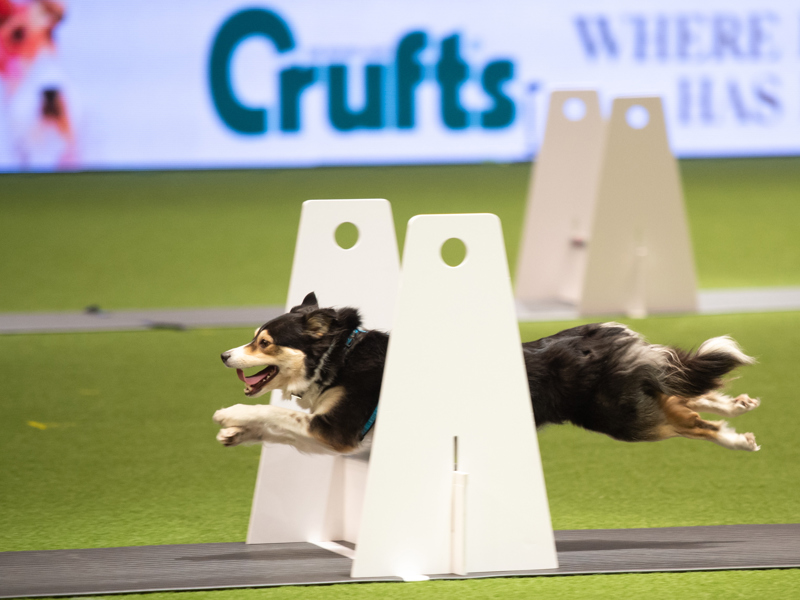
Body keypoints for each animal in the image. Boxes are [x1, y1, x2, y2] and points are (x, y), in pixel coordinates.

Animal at [214, 292, 764, 454]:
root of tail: (611, 332)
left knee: (688, 417)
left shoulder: (339, 431)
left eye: (262, 343)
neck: (339, 355)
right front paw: (235, 432)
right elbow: (276, 425)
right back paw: (735, 405)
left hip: (622, 419)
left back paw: (736, 438)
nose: (223, 356)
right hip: (633, 398)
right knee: (676, 387)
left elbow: (276, 416)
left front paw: (229, 415)